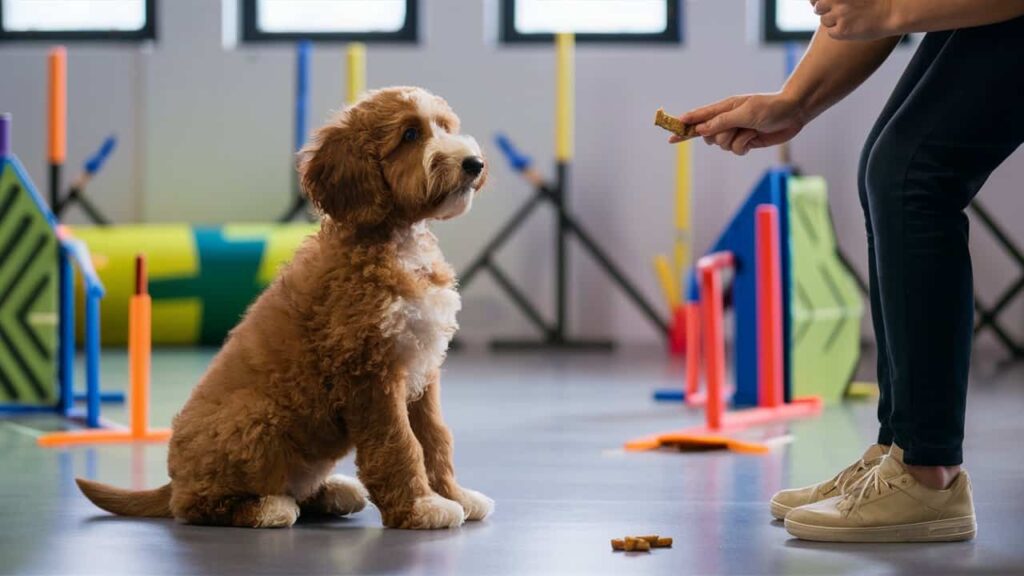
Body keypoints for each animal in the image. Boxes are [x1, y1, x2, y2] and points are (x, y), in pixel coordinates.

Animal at [77, 86, 493, 528]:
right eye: (410, 135)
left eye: (446, 127)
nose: (474, 163)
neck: (397, 241)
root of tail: (173, 481)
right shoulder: (371, 374)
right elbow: (399, 444)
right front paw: (420, 507)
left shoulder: (422, 371)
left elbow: (435, 438)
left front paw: (455, 495)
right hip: (256, 419)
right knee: (196, 506)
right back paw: (267, 507)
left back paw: (332, 491)